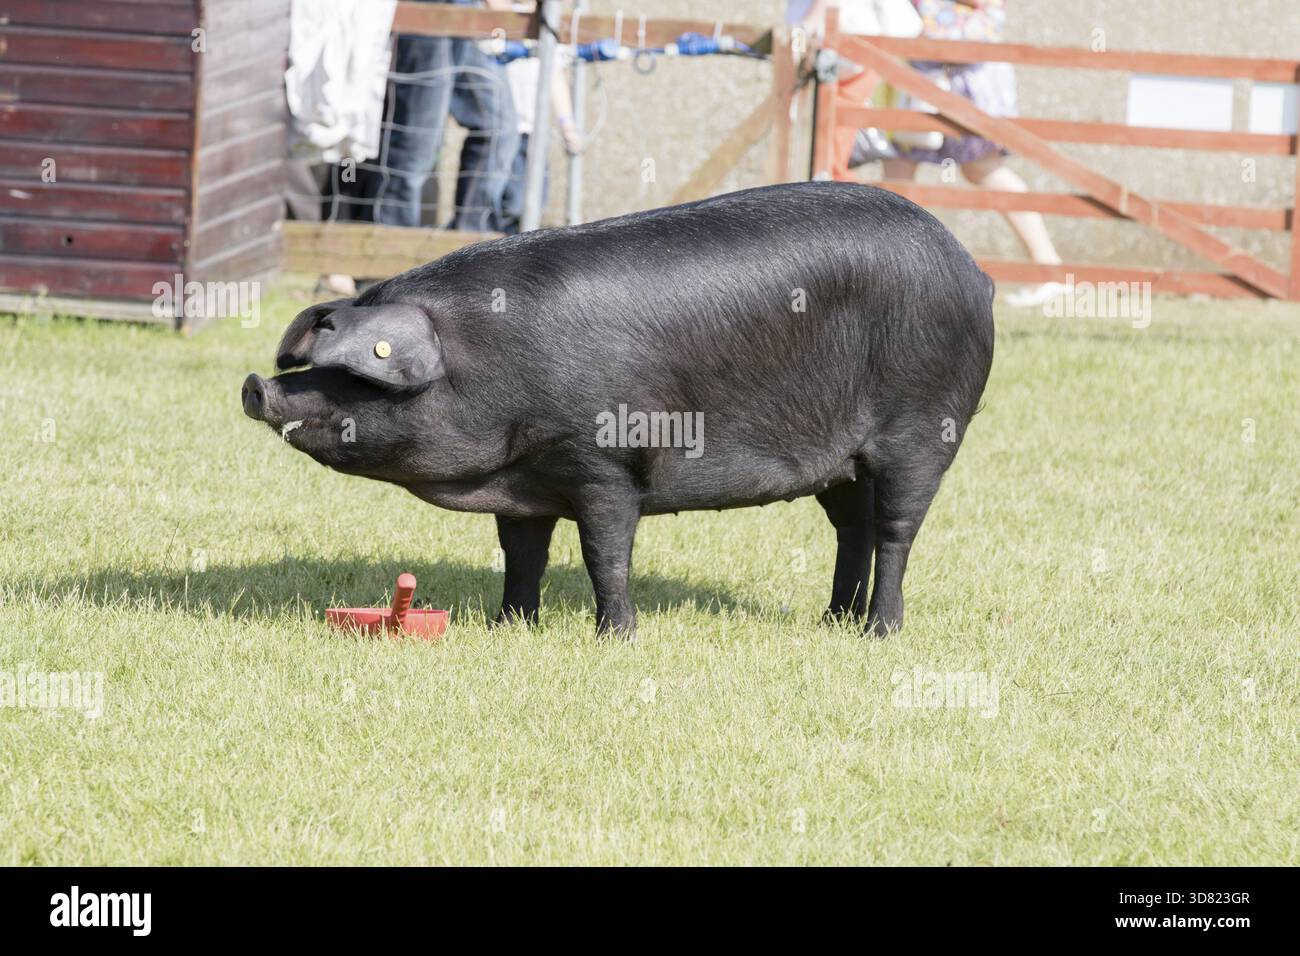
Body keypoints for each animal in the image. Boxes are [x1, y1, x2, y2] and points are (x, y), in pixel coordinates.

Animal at [242, 181, 994, 637]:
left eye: (359, 379)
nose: (257, 385)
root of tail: (973, 269)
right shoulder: (527, 480)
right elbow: (523, 555)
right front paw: (511, 626)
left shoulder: (603, 461)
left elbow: (605, 550)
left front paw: (616, 636)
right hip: (840, 462)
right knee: (853, 530)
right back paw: (831, 620)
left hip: (922, 430)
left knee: (896, 531)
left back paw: (879, 631)